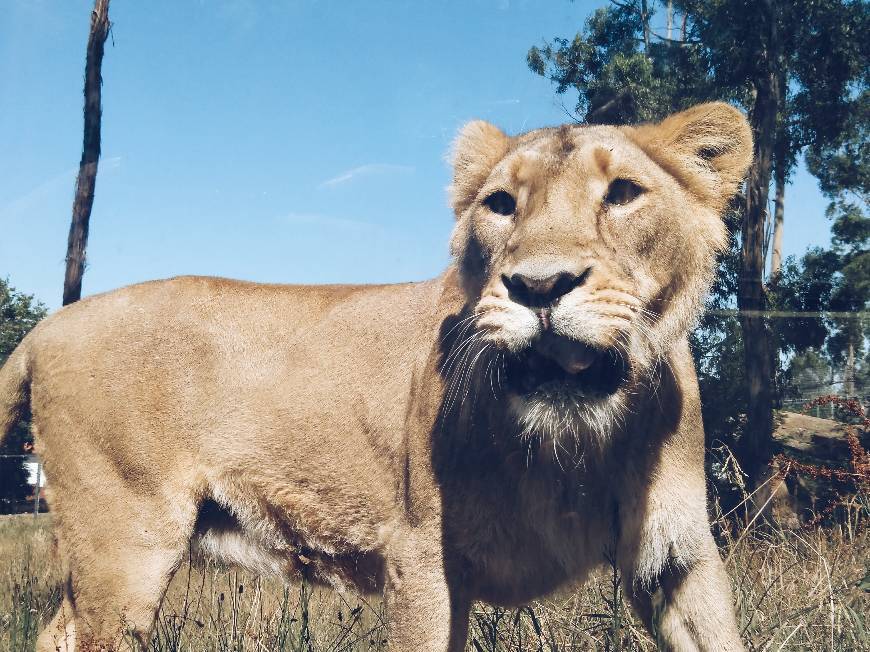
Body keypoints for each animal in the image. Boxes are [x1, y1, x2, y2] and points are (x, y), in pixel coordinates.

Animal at [0, 100, 752, 648]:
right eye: (501, 204)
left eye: (623, 193)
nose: (538, 287)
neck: (579, 444)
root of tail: (45, 327)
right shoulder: (421, 562)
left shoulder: (681, 558)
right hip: (124, 545)